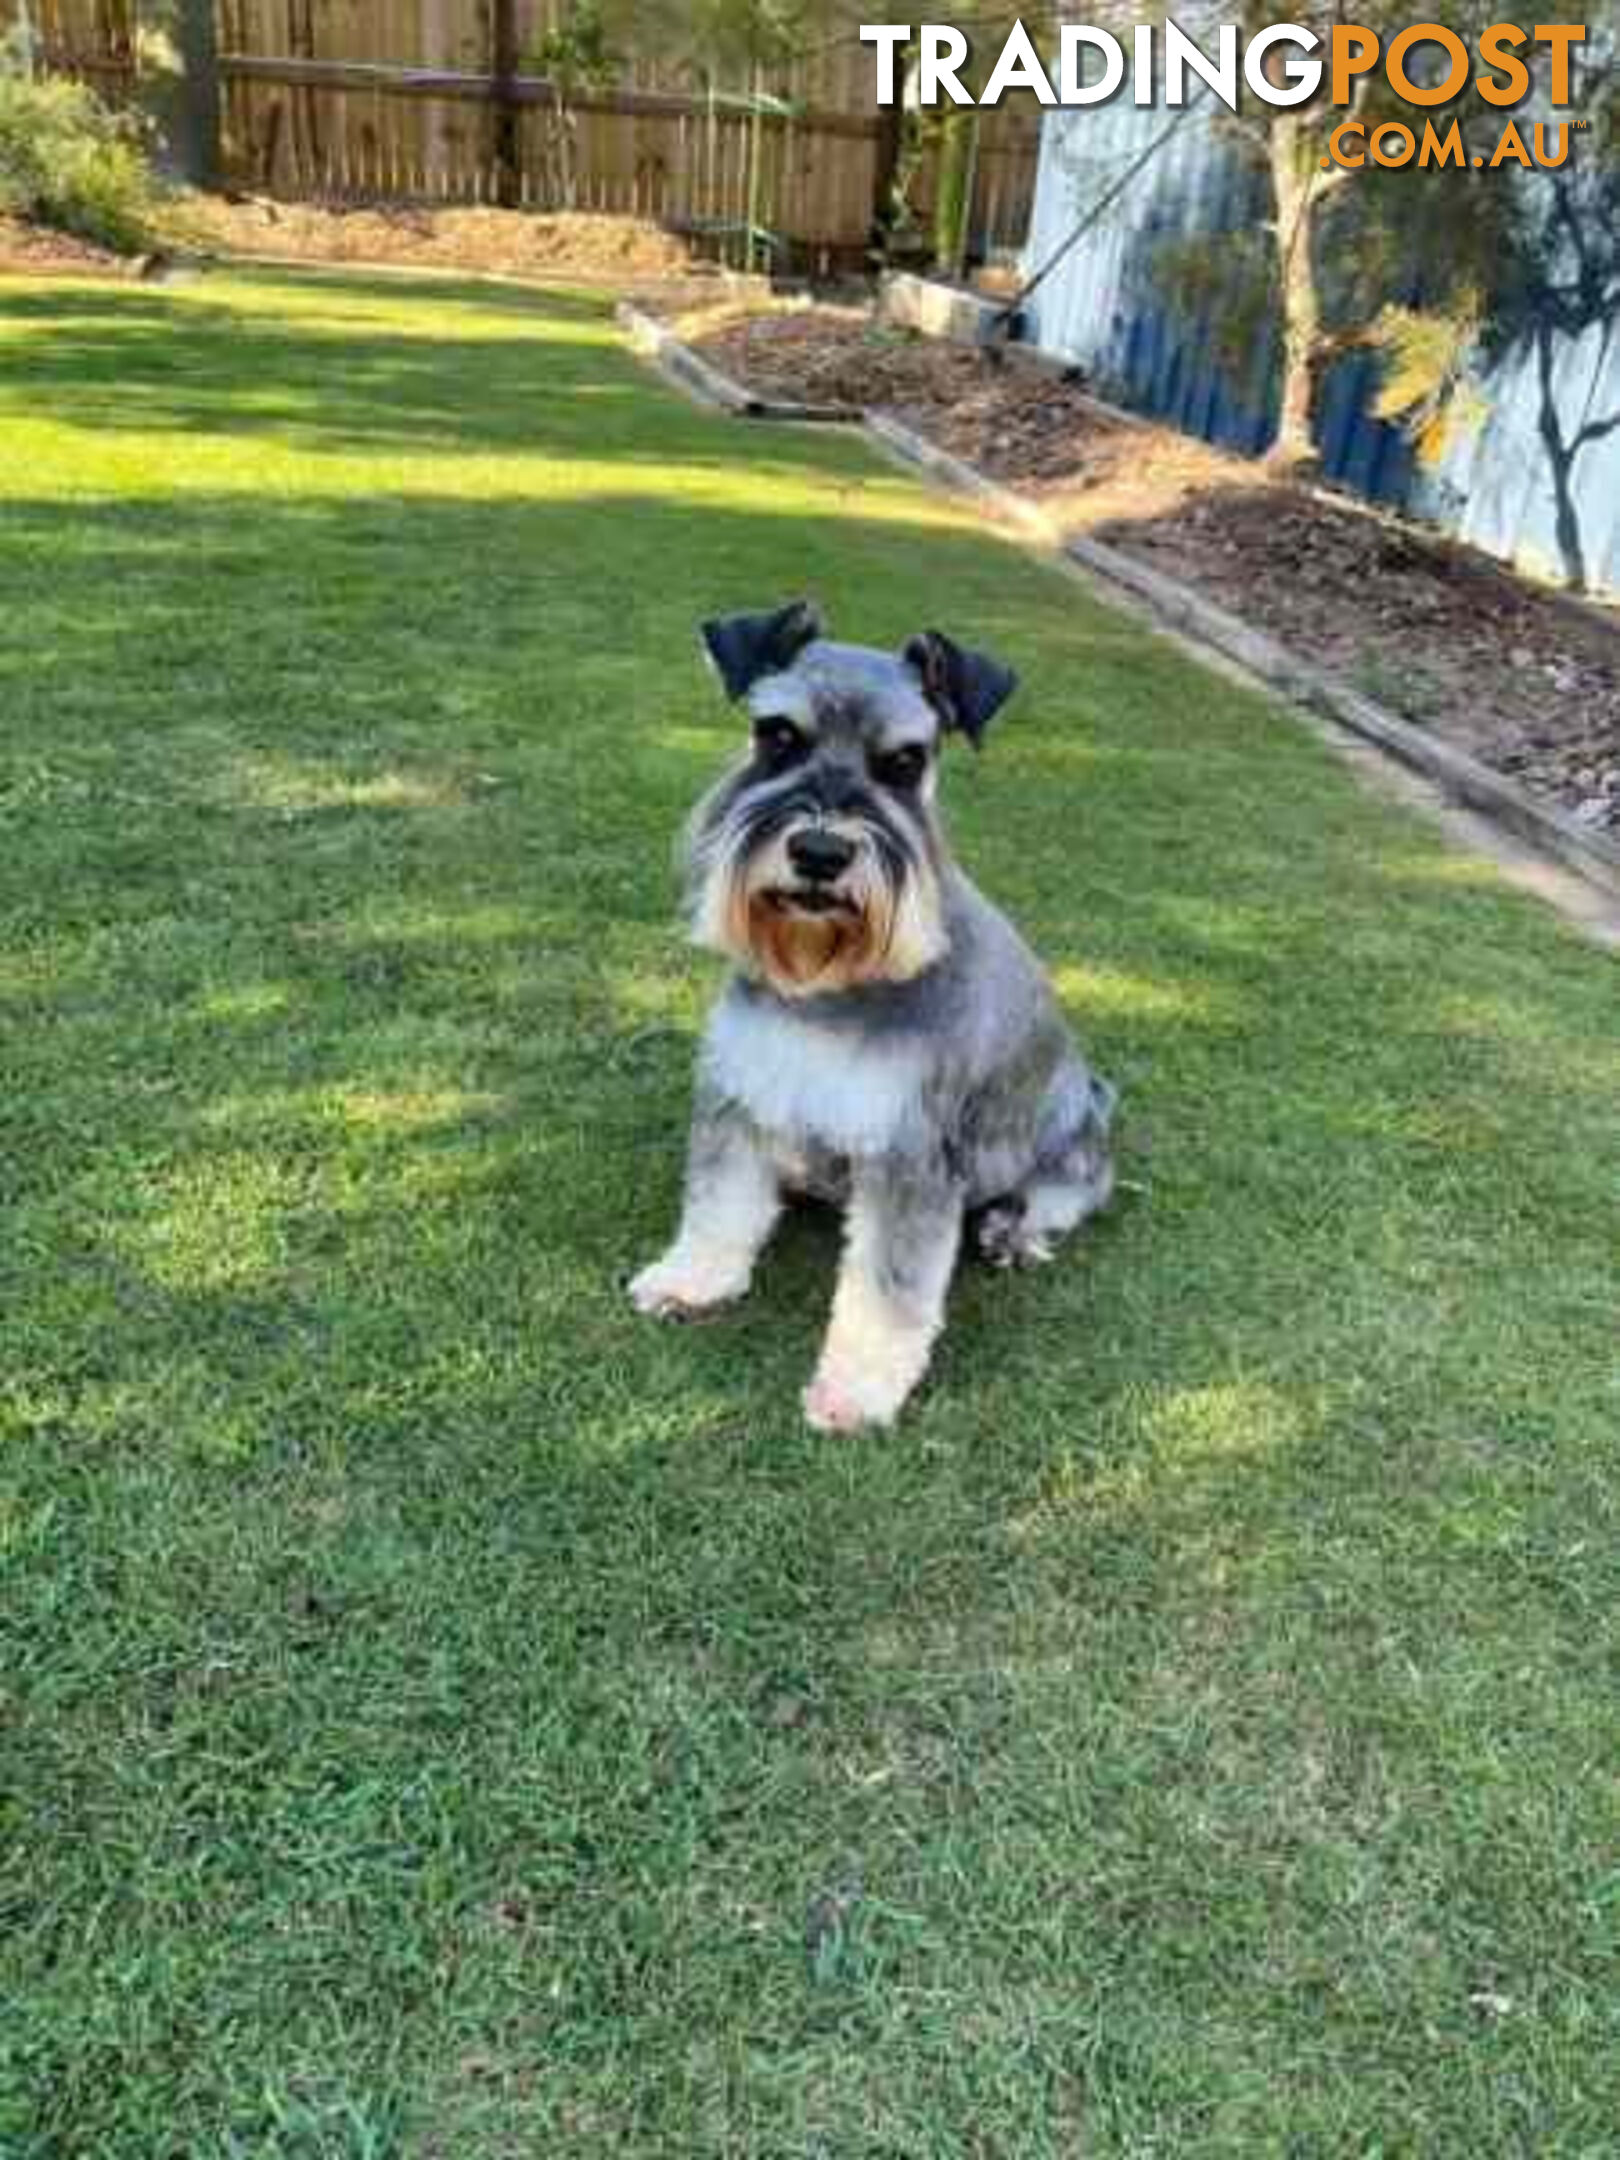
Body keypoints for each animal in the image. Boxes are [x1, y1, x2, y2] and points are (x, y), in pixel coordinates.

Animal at [630, 600, 1114, 1434]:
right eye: (777, 735)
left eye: (906, 761)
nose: (821, 852)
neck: (830, 977)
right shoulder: (742, 1098)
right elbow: (720, 1207)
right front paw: (691, 1280)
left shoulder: (910, 1156)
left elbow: (890, 1290)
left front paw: (855, 1390)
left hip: (1069, 1137)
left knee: (1066, 1194)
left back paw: (1013, 1232)